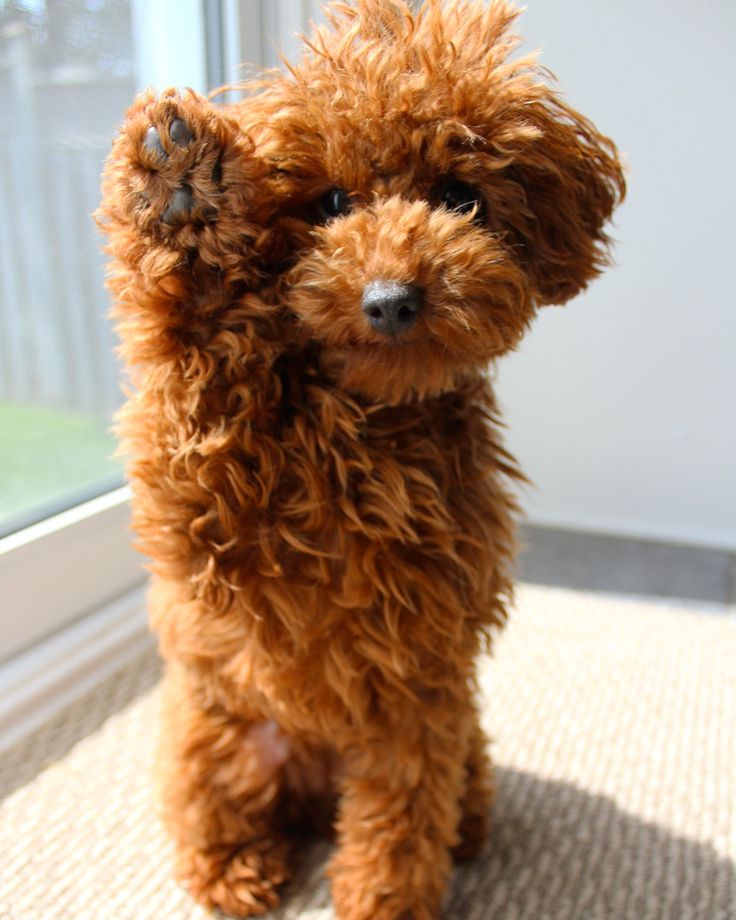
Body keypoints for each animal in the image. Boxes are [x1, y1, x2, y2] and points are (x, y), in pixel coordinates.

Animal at [99, 1, 620, 920]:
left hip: (459, 732)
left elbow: (398, 826)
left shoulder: (414, 684)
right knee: (210, 819)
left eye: (460, 196)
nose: (390, 301)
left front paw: (385, 900)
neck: (366, 419)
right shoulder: (206, 515)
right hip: (214, 736)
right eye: (332, 202)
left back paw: (467, 831)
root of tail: (312, 789)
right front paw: (180, 192)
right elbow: (188, 372)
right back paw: (236, 872)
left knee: (442, 798)